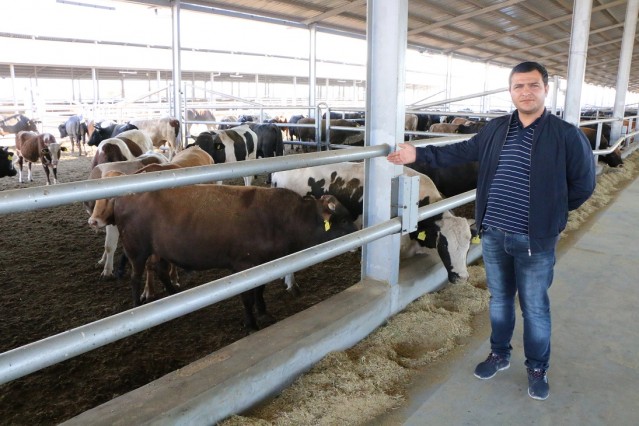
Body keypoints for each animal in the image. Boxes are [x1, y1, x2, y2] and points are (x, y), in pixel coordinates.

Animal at [87, 184, 358, 331]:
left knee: (161, 269)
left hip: (160, 249)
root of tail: (124, 195)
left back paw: (175, 299)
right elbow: (247, 297)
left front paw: (263, 311)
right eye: (344, 220)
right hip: (136, 249)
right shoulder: (243, 265)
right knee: (136, 277)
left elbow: (260, 290)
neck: (279, 219)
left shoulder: (263, 263)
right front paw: (251, 323)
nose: (358, 236)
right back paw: (138, 307)